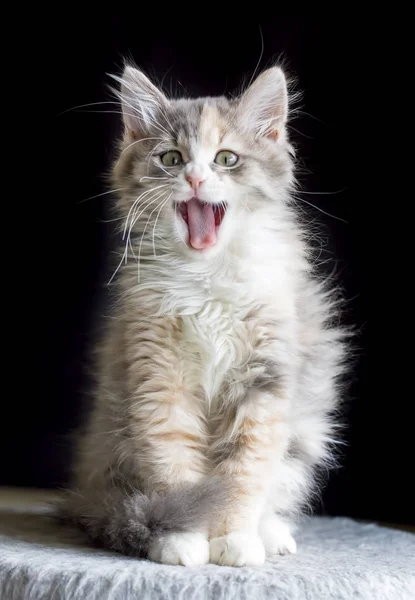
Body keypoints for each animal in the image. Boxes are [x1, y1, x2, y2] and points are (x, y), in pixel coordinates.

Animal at [63, 63, 350, 564]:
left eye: (227, 159)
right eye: (172, 158)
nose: (196, 179)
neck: (208, 278)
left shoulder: (266, 380)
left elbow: (244, 474)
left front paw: (235, 540)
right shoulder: (159, 376)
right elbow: (173, 463)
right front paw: (180, 538)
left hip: (303, 432)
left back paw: (270, 535)